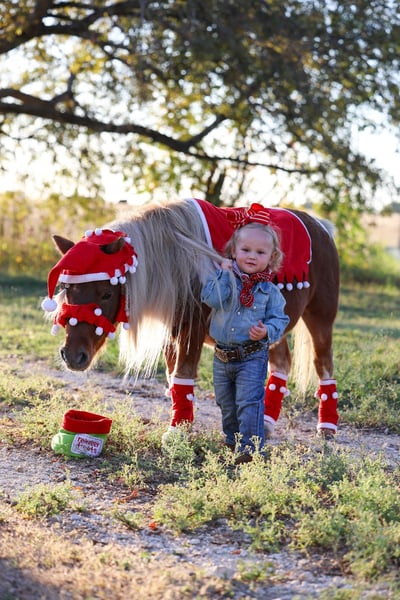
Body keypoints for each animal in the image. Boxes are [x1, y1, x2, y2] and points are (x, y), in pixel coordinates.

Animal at [41, 198, 340, 439]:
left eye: (106, 293)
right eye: (68, 289)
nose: (72, 356)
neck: (175, 264)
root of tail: (322, 226)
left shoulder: (191, 330)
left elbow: (183, 373)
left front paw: (177, 433)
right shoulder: (171, 331)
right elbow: (174, 378)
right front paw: (182, 423)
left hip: (320, 318)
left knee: (323, 364)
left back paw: (327, 428)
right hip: (272, 325)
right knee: (281, 362)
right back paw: (265, 422)